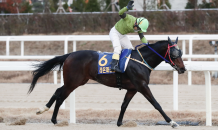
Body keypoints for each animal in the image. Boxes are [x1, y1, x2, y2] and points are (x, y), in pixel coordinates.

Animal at [28, 36, 186, 128]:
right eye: (174, 54)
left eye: (181, 53)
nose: (183, 69)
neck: (141, 61)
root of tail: (69, 55)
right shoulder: (142, 85)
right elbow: (156, 104)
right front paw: (172, 122)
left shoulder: (132, 88)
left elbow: (124, 105)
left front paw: (120, 122)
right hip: (73, 82)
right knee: (60, 95)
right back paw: (50, 116)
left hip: (77, 81)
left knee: (58, 93)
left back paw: (47, 113)